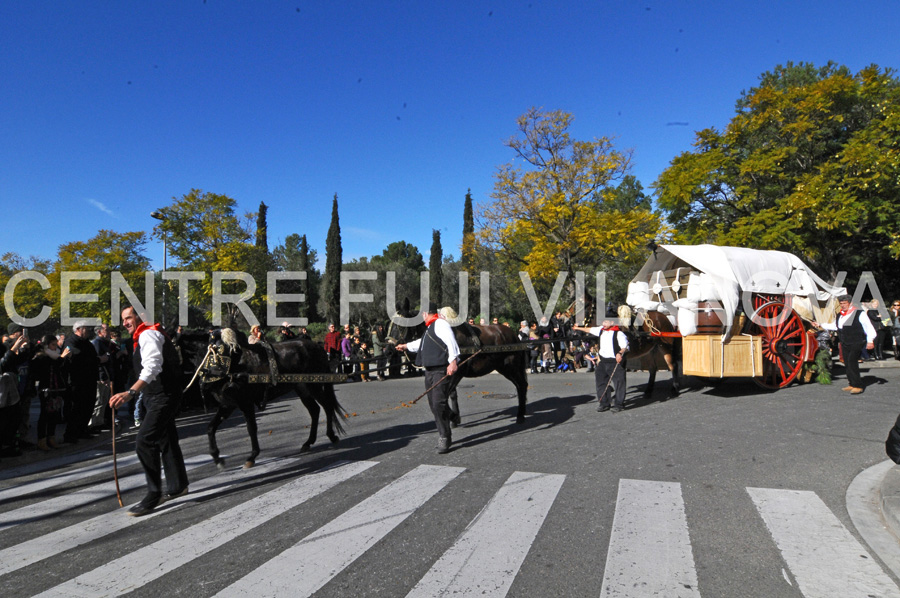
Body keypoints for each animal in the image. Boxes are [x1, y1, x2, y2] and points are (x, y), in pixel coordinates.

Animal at [178, 332, 346, 468]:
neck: (226, 364)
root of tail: (318, 347)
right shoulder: (228, 405)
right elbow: (210, 428)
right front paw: (217, 457)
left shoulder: (245, 403)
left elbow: (251, 428)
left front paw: (252, 456)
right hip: (302, 388)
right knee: (315, 410)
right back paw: (309, 442)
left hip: (314, 386)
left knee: (327, 406)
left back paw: (331, 435)